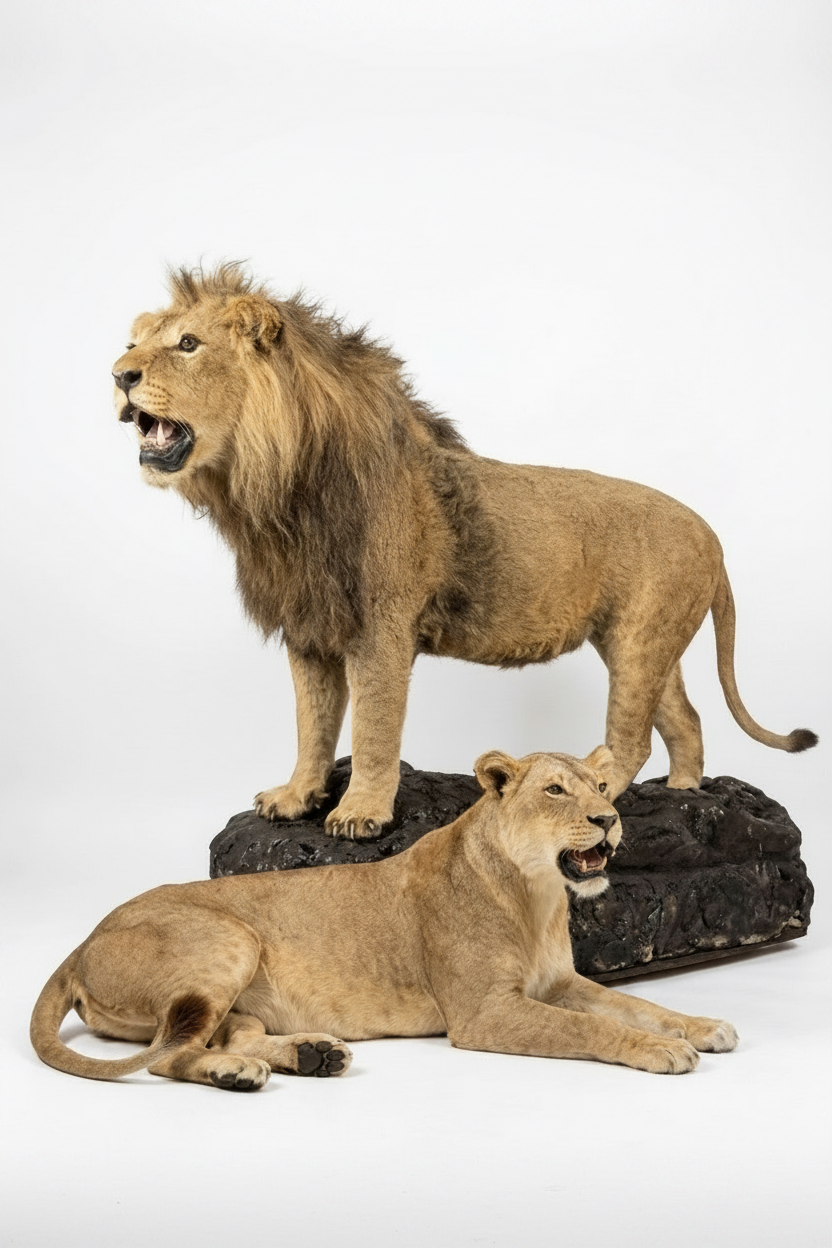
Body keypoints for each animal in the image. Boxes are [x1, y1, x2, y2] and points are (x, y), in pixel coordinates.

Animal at [31, 748, 738, 1087]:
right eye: (556, 790)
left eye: (602, 787)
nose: (608, 819)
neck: (536, 895)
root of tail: (82, 942)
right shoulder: (483, 1013)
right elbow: (590, 1029)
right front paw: (659, 1050)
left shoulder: (561, 983)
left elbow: (639, 1005)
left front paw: (701, 1026)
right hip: (230, 937)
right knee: (166, 1055)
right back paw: (245, 1074)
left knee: (226, 1037)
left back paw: (309, 1057)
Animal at [112, 264, 816, 839]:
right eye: (131, 343)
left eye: (187, 344)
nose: (118, 375)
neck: (276, 498)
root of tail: (714, 537)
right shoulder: (309, 628)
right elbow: (312, 725)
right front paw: (295, 798)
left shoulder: (381, 629)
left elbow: (373, 730)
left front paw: (360, 813)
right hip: (642, 640)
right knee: (685, 719)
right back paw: (684, 795)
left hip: (641, 641)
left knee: (631, 736)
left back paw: (598, 796)